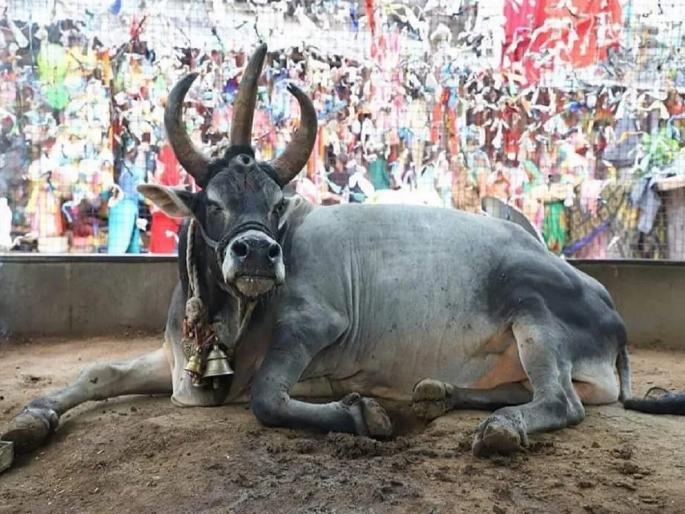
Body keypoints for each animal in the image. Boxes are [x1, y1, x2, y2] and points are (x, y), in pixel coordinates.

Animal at [3, 44, 684, 462]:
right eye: (210, 202)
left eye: (276, 203)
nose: (257, 253)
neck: (224, 322)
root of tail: (610, 310)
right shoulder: (169, 361)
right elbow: (97, 373)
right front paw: (30, 422)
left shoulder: (314, 326)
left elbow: (267, 399)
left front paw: (364, 416)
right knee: (519, 392)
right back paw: (439, 395)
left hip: (532, 313)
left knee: (561, 402)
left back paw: (497, 429)